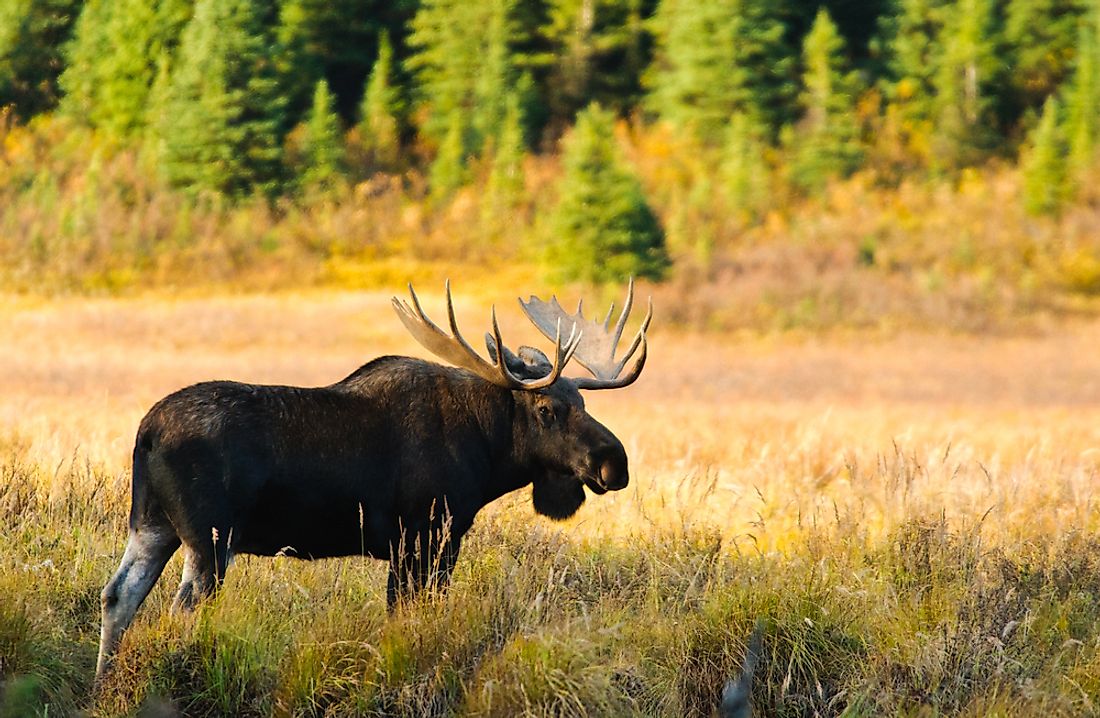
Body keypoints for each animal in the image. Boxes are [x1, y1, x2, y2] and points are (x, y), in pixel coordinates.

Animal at [94, 278, 651, 677]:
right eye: (547, 408)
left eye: (584, 402)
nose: (614, 462)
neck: (488, 452)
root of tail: (146, 432)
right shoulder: (425, 537)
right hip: (211, 537)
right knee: (180, 609)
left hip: (152, 524)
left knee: (118, 596)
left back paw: (104, 688)